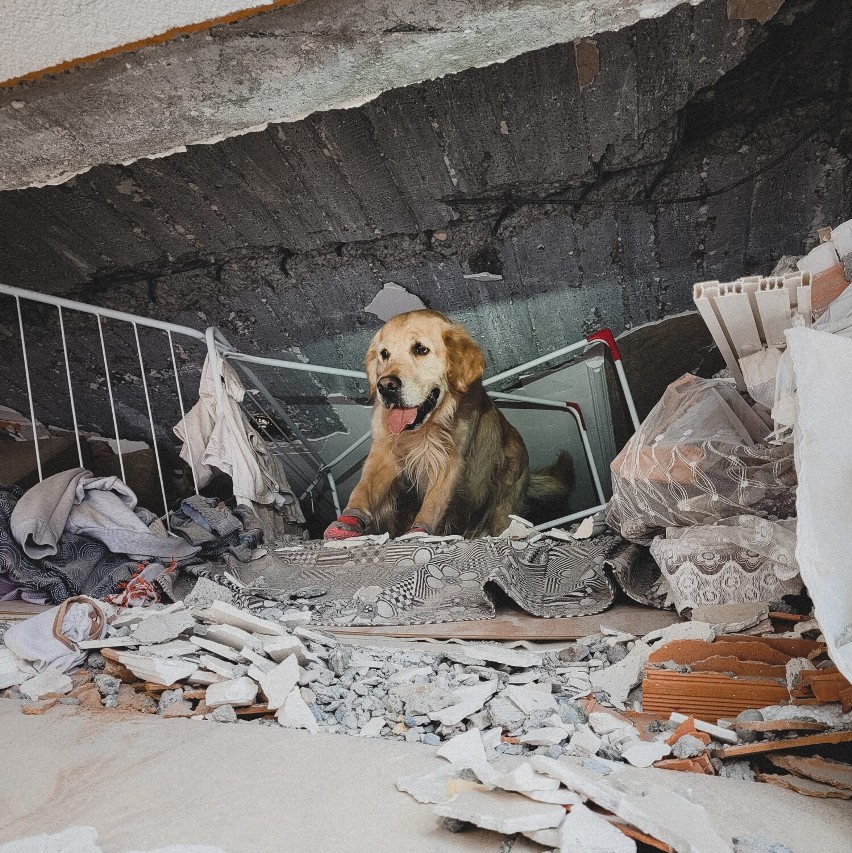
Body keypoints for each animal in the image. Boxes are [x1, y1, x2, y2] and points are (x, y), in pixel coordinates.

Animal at [326, 310, 572, 540]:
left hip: (504, 507)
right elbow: (363, 489)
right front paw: (347, 522)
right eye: (384, 354)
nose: (385, 386)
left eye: (420, 349)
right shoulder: (384, 452)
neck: (423, 430)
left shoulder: (449, 461)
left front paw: (419, 533)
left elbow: (432, 505)